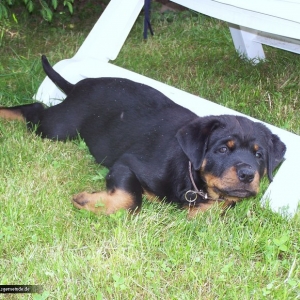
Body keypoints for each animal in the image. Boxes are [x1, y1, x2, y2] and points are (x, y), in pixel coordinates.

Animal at [0, 55, 286, 217]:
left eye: (259, 155)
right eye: (223, 149)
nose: (248, 174)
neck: (188, 172)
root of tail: (79, 85)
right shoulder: (126, 164)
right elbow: (131, 200)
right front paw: (90, 202)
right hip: (58, 128)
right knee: (35, 109)